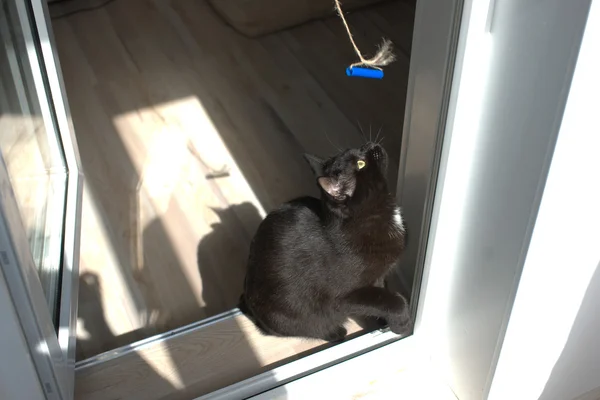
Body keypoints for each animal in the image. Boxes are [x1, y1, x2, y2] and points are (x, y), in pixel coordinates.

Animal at [240, 142, 412, 340]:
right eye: (361, 164)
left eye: (357, 149)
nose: (370, 144)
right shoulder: (345, 297)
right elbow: (391, 301)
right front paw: (402, 324)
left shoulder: (378, 276)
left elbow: (383, 295)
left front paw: (384, 322)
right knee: (312, 328)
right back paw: (336, 332)